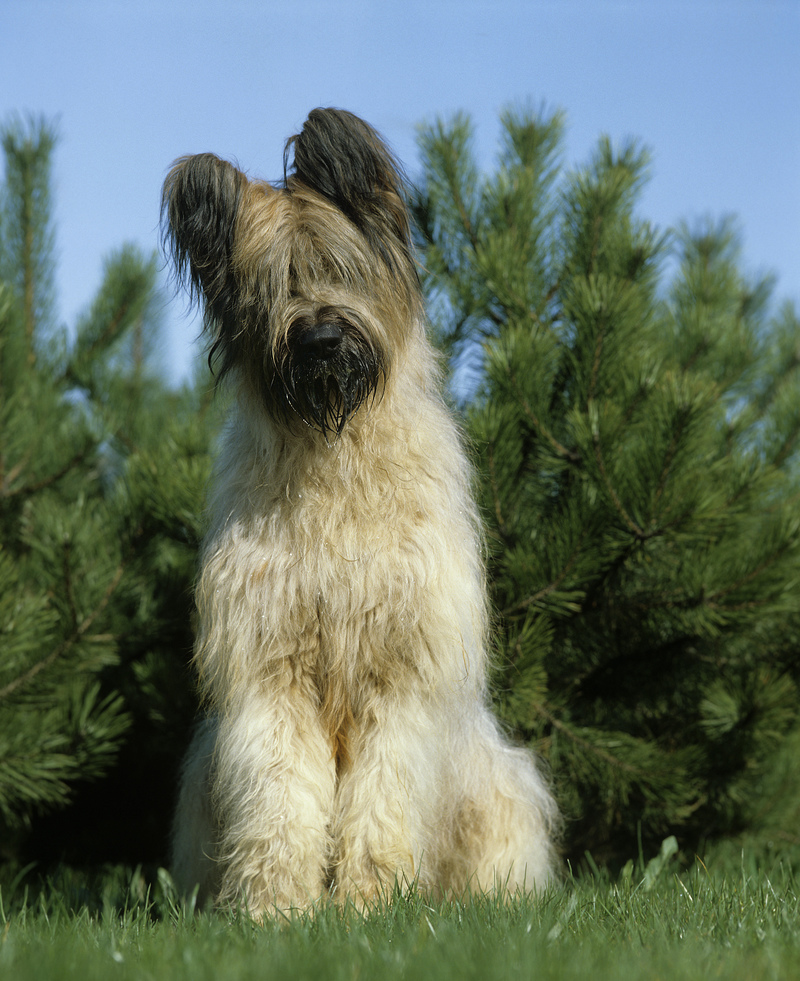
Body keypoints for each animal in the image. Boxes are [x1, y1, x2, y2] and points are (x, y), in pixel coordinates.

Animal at [162, 107, 560, 912]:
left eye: (340, 267)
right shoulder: (271, 665)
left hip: (497, 782)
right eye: (272, 285)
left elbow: (384, 795)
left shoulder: (400, 668)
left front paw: (371, 902)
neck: (335, 466)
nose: (320, 339)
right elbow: (278, 790)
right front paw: (274, 905)